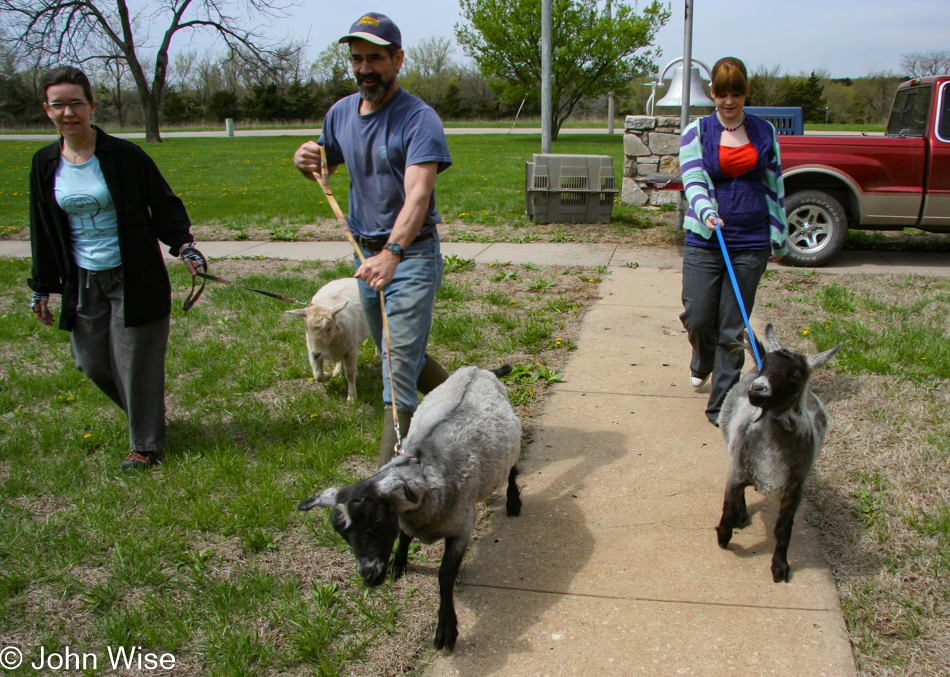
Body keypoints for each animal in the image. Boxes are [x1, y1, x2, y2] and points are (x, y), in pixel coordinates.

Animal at [298, 364, 520, 648]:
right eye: (341, 532)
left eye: (377, 518)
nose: (369, 576)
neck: (422, 463)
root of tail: (478, 369)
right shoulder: (405, 518)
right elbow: (403, 537)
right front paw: (398, 564)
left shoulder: (461, 528)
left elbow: (445, 575)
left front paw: (446, 629)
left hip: (511, 443)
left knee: (512, 470)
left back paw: (514, 501)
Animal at [716, 322, 844, 580]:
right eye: (768, 364)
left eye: (795, 373)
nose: (758, 389)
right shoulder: (737, 474)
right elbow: (728, 507)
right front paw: (724, 536)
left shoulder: (794, 490)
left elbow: (784, 530)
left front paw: (780, 566)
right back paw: (741, 515)